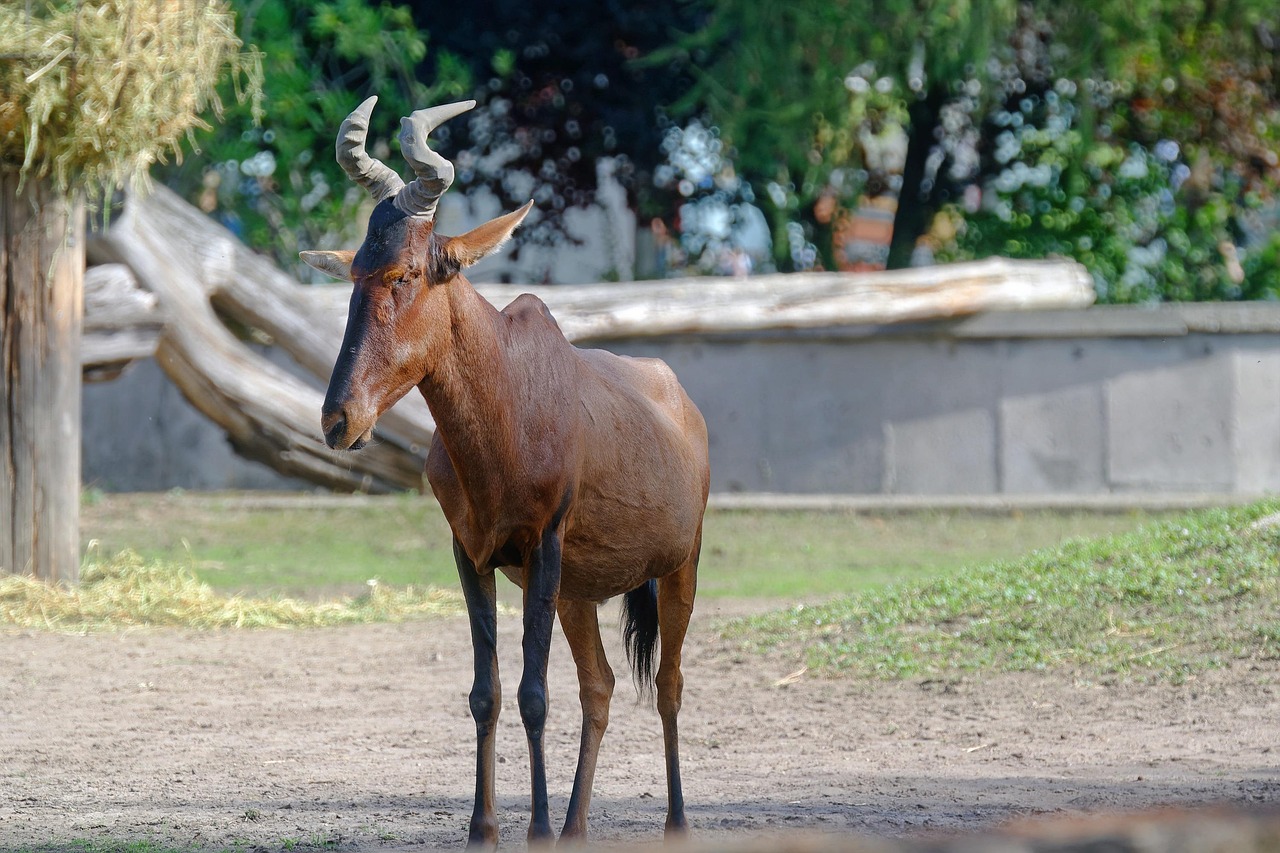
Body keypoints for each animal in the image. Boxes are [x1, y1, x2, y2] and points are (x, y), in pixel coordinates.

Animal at [304, 96, 716, 840]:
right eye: (354, 274)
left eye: (406, 272)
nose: (339, 419)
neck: (510, 398)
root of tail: (677, 396)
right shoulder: (472, 555)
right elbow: (487, 692)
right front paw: (484, 828)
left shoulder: (542, 546)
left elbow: (532, 693)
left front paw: (536, 830)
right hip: (579, 591)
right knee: (600, 686)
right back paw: (578, 827)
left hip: (679, 564)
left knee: (668, 685)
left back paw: (673, 823)